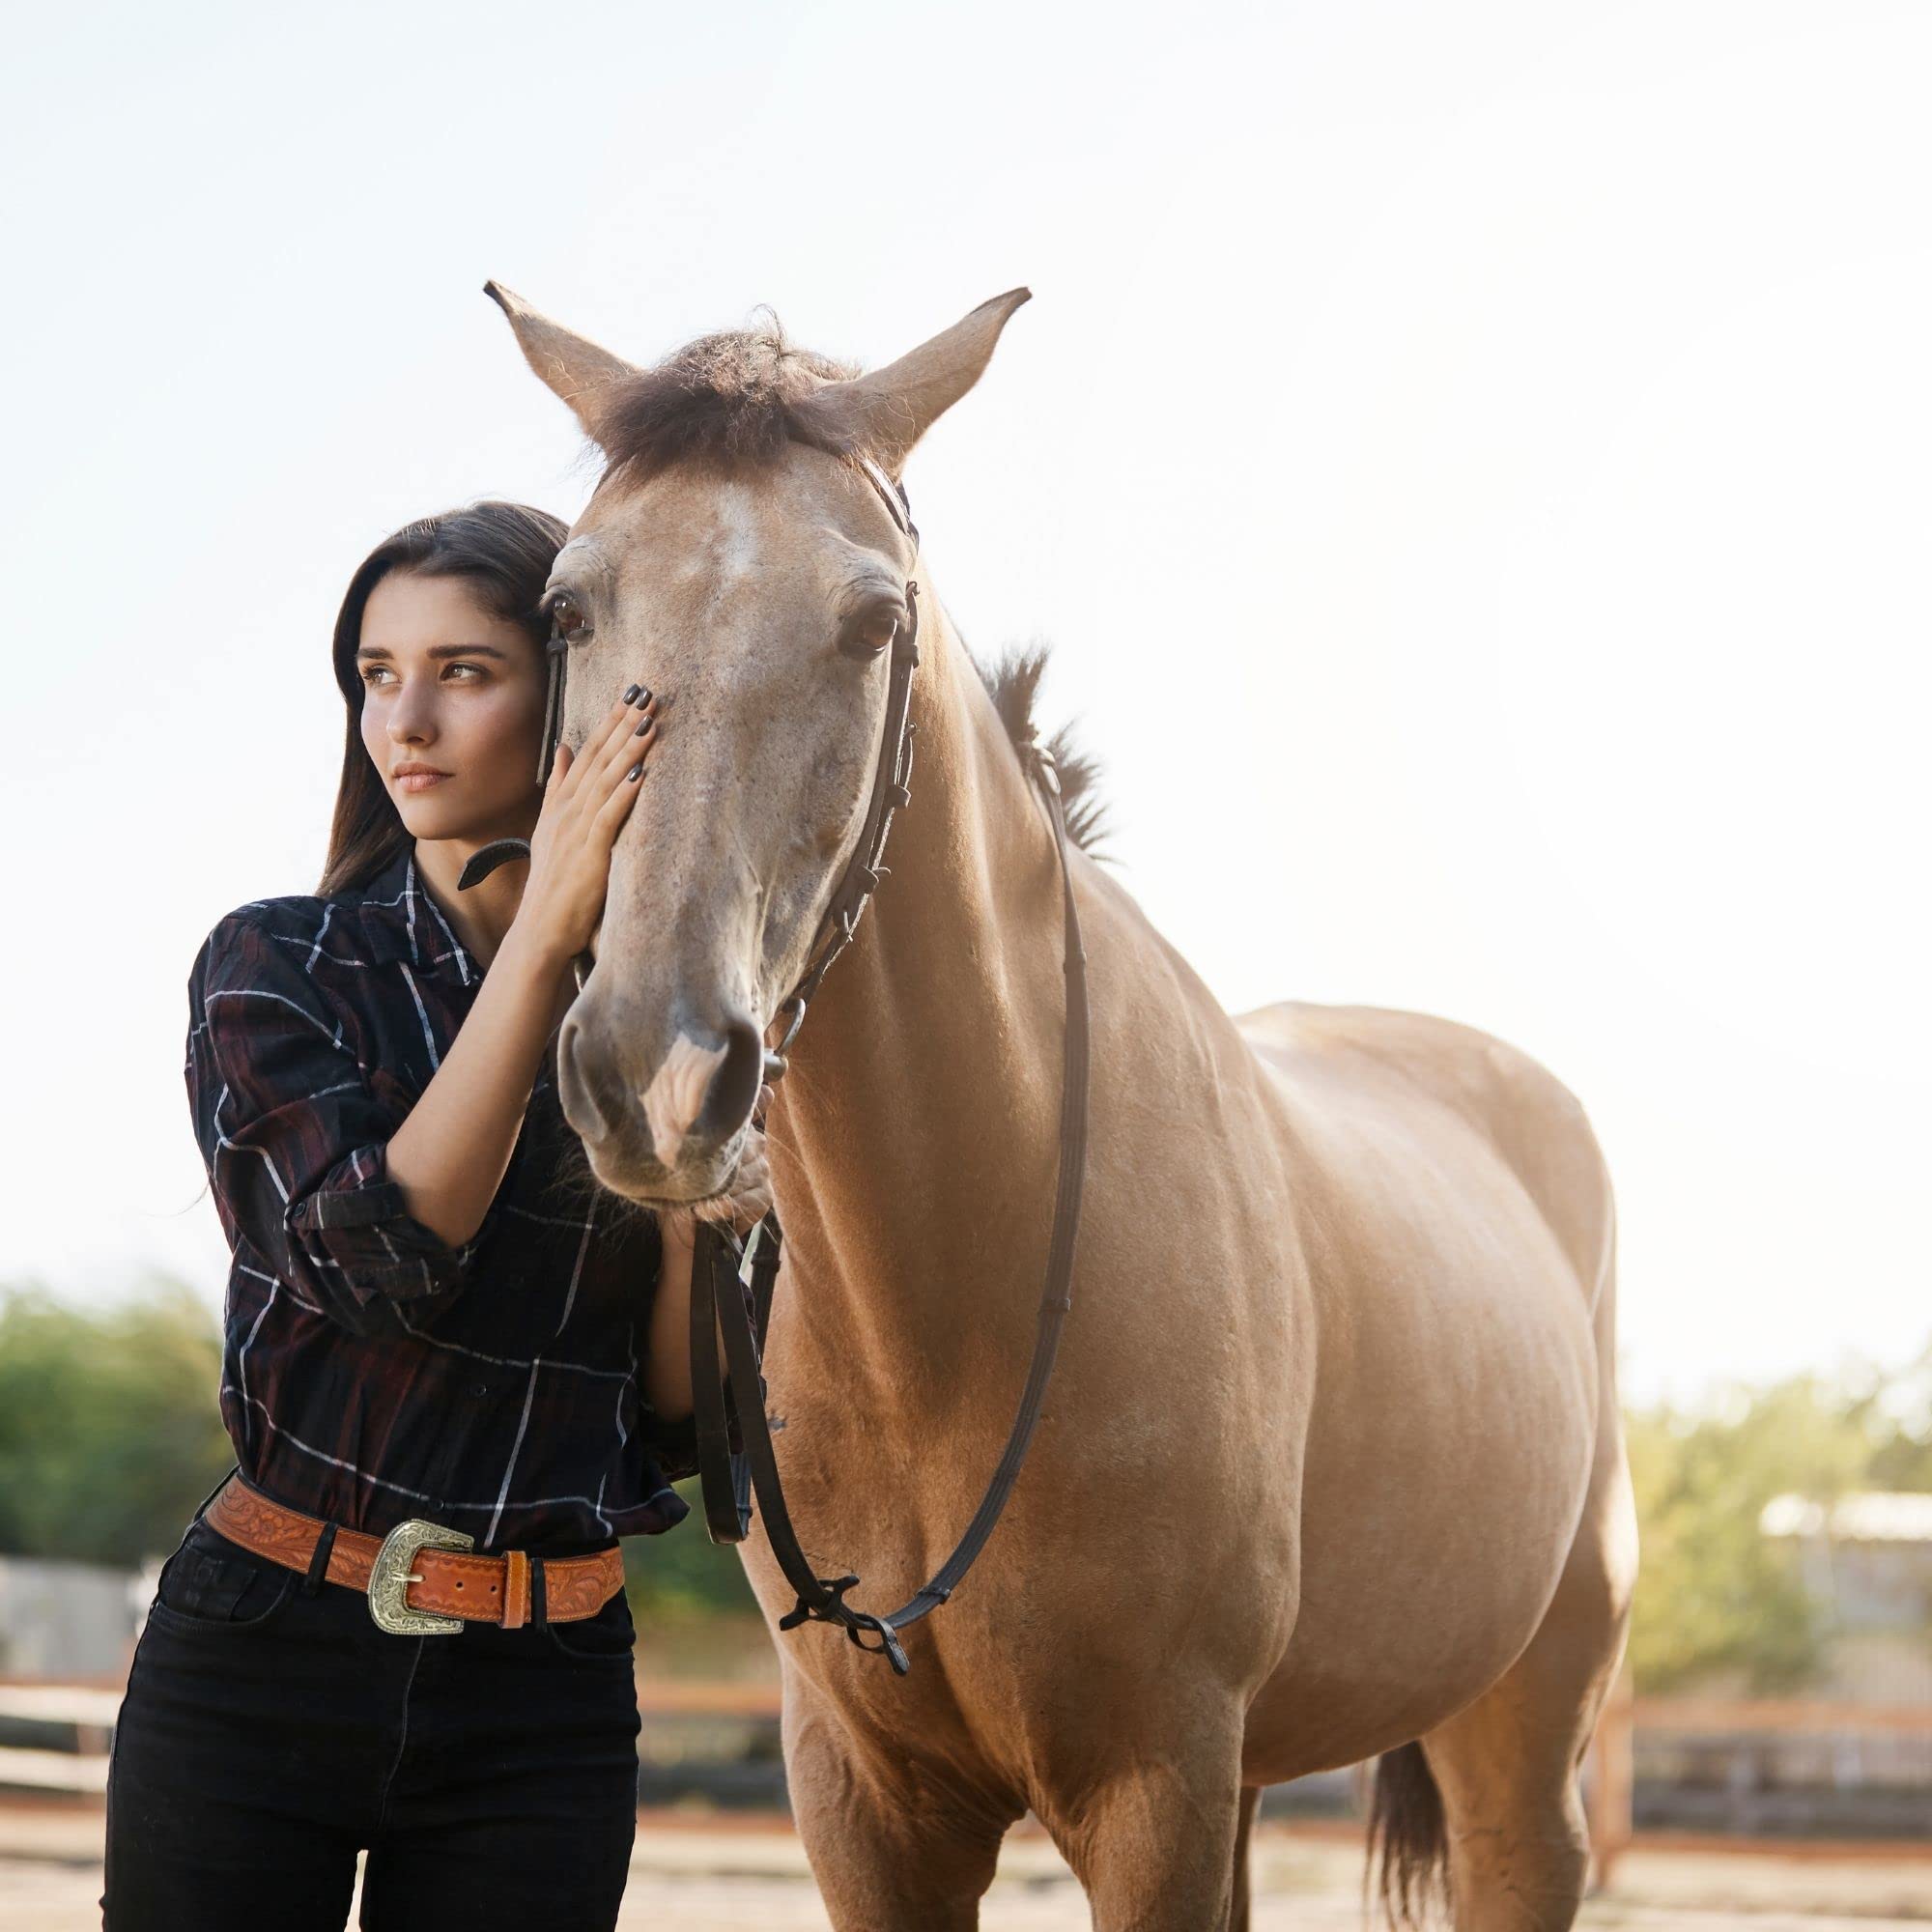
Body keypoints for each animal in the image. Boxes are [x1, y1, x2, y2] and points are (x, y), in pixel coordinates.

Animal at [483, 286, 1631, 1932]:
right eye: (571, 610)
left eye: (874, 622)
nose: (657, 1067)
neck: (949, 1319)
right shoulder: (870, 1809)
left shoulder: (1153, 1791)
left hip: (1517, 1737)